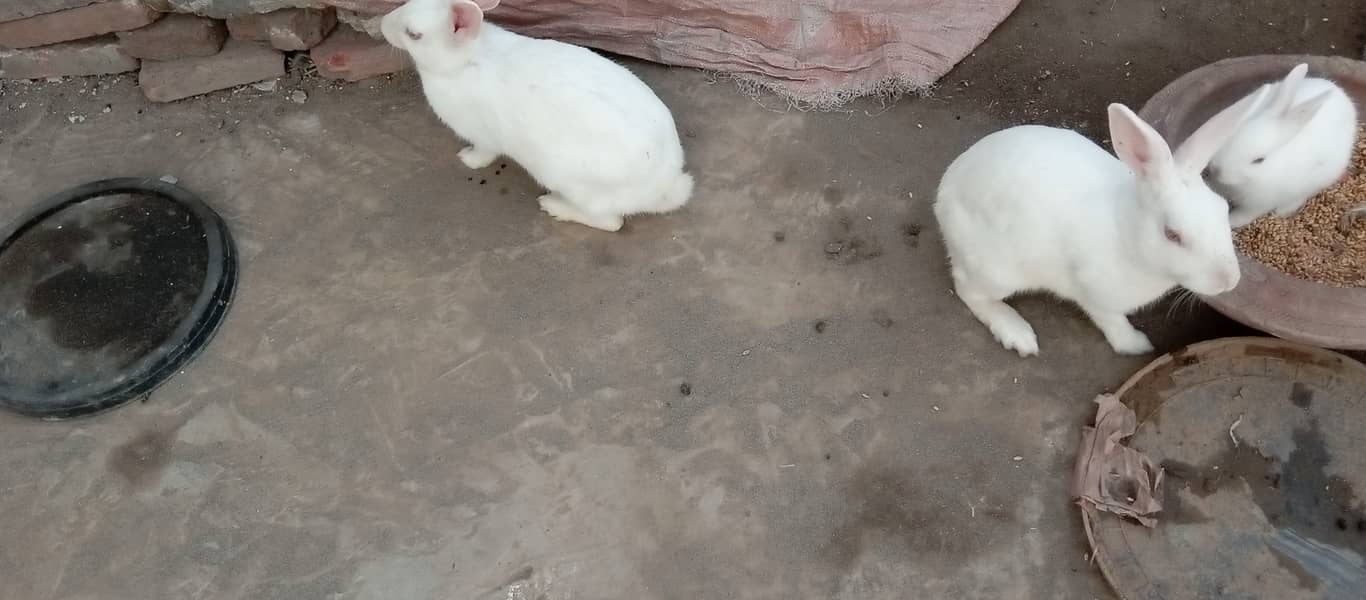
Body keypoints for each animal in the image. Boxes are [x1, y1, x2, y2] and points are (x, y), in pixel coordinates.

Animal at [379, 0, 693, 232]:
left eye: (413, 34)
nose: (382, 24)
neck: (465, 60)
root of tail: (664, 189)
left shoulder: (484, 138)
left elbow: (483, 153)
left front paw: (467, 159)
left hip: (571, 182)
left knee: (611, 222)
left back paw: (554, 207)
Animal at [934, 86, 1262, 355]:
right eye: (1172, 234)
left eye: (1222, 210)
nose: (1229, 281)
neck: (1127, 234)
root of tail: (944, 192)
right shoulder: (1095, 295)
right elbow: (1113, 322)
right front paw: (1136, 346)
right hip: (996, 270)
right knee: (968, 291)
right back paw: (1017, 334)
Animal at [1207, 63, 1355, 228]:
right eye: (1229, 137)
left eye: (1259, 160)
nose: (1217, 170)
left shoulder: (1258, 204)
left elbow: (1244, 215)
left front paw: (1231, 222)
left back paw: (1285, 210)